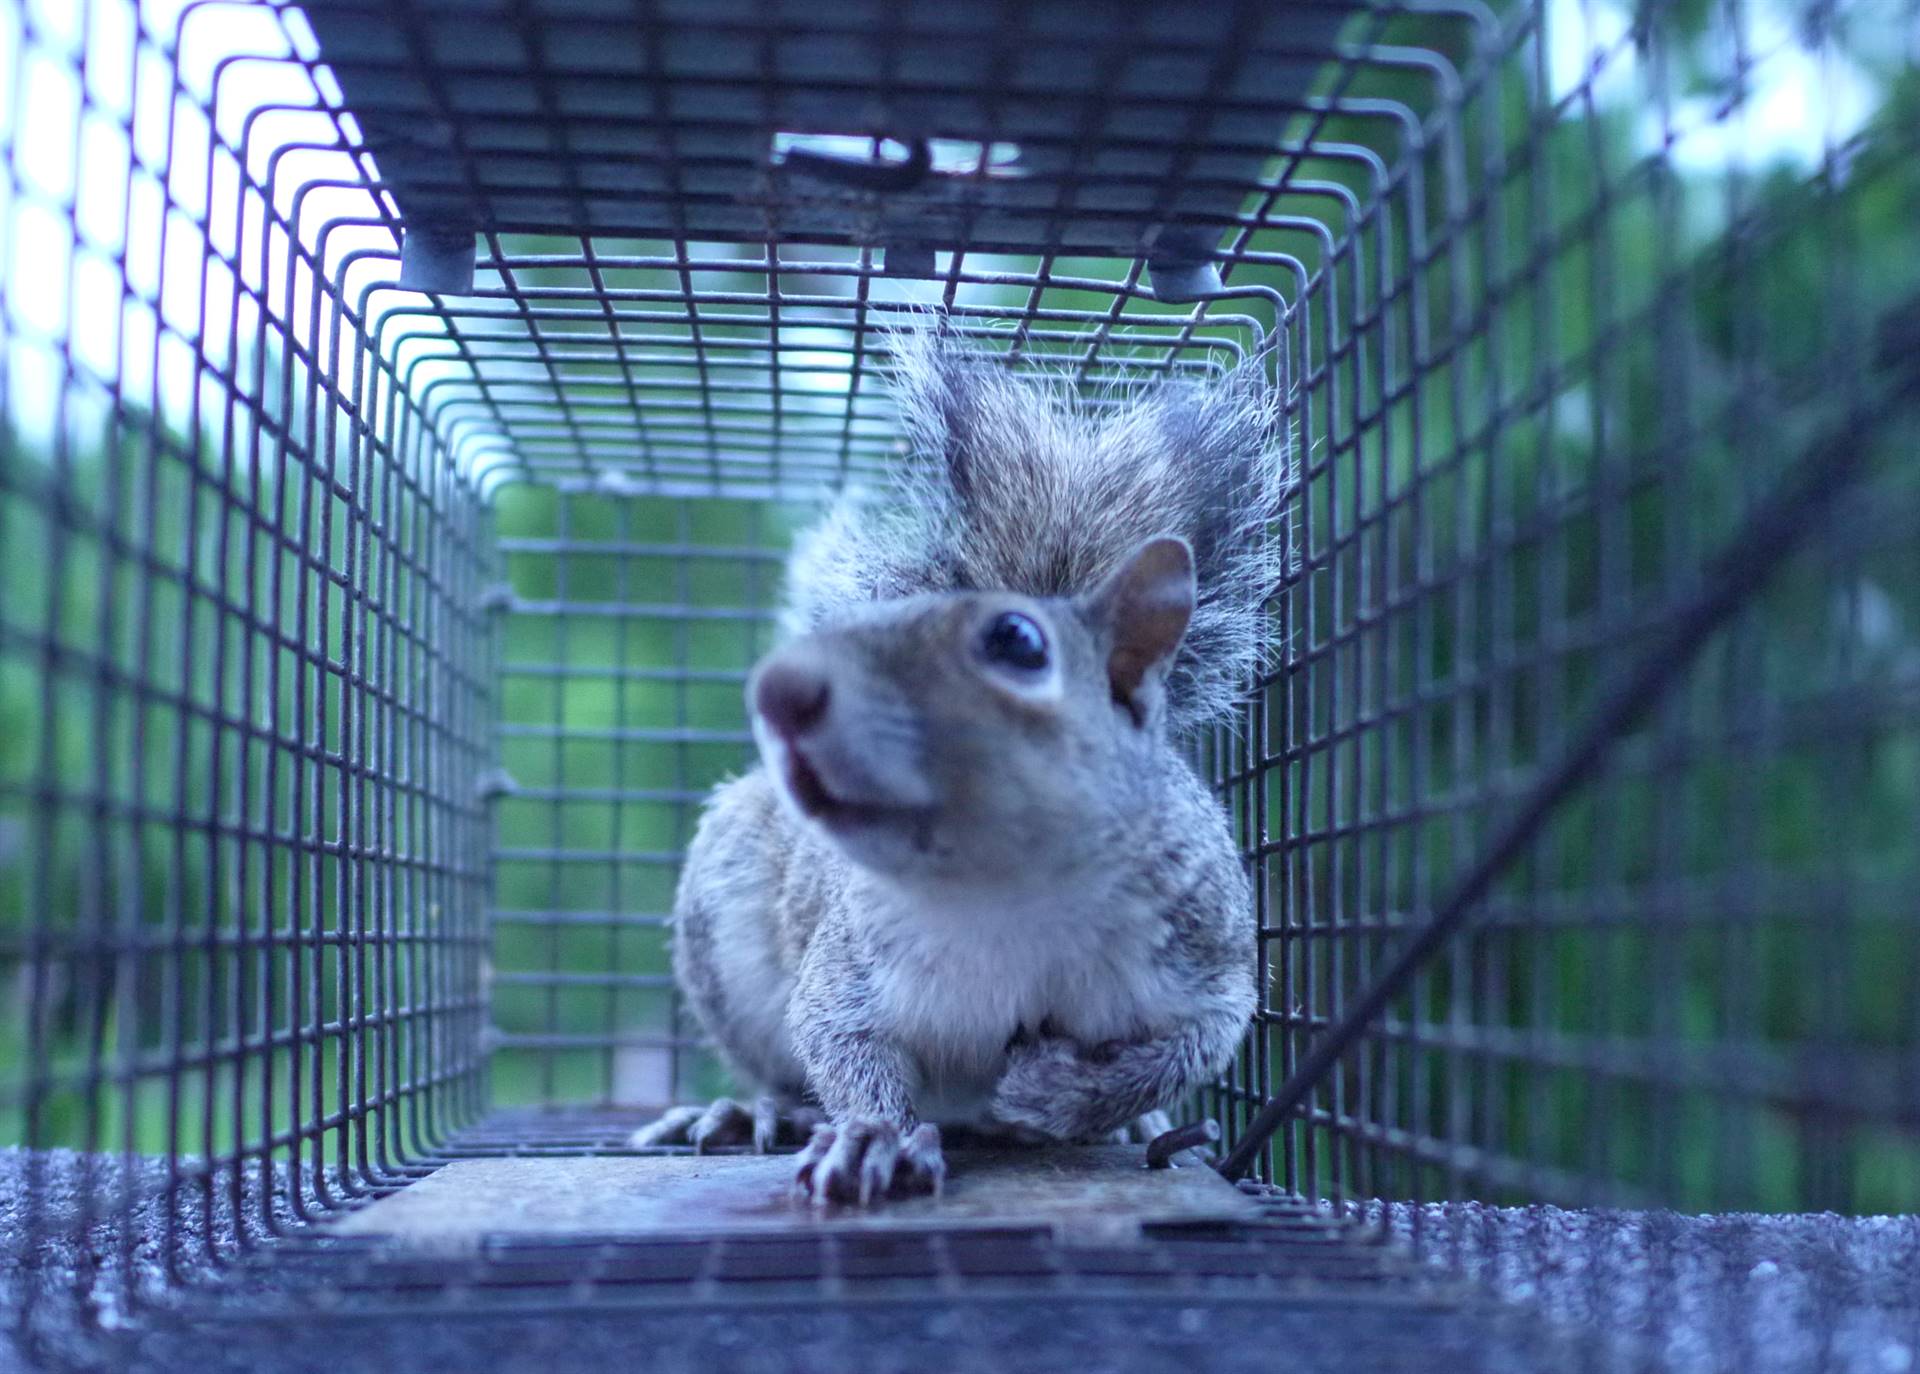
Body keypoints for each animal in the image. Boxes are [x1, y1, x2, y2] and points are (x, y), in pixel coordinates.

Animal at [632, 327, 1286, 1205]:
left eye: (1017, 642)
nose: (777, 690)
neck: (1011, 888)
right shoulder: (851, 967)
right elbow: (843, 1048)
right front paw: (871, 1139)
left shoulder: (1207, 963)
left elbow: (1175, 1055)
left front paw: (1061, 1094)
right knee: (780, 1066)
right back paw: (759, 1111)